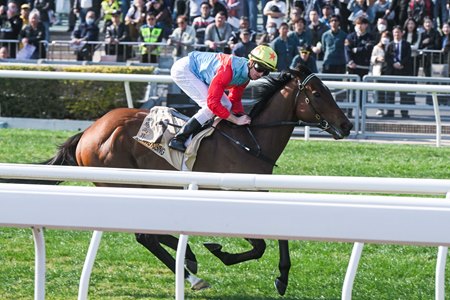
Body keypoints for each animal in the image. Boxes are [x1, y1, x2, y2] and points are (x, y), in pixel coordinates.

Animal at [8, 66, 352, 296]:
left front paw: (281, 277)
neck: (251, 139)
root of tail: (89, 131)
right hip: (122, 183)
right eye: (318, 93)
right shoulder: (227, 192)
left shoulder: (258, 191)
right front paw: (221, 252)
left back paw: (188, 259)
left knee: (150, 234)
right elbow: (258, 245)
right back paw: (191, 269)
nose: (347, 124)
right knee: (144, 236)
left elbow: (277, 235)